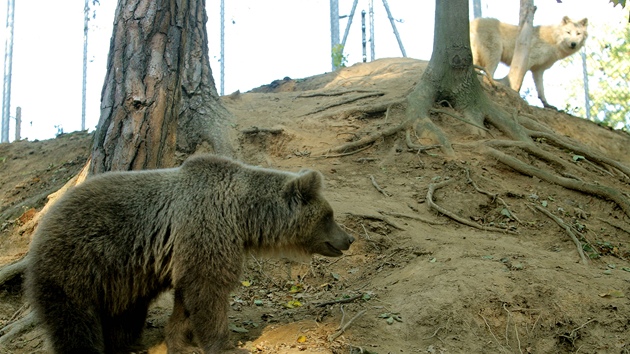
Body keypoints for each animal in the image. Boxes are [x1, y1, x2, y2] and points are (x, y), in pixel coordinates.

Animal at [24, 155, 354, 354]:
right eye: (329, 215)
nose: (349, 239)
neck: (243, 216)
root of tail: (43, 219)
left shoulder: (191, 251)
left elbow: (187, 299)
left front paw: (181, 341)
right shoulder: (207, 227)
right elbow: (208, 292)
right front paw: (226, 344)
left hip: (119, 281)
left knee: (124, 316)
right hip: (75, 264)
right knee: (74, 322)